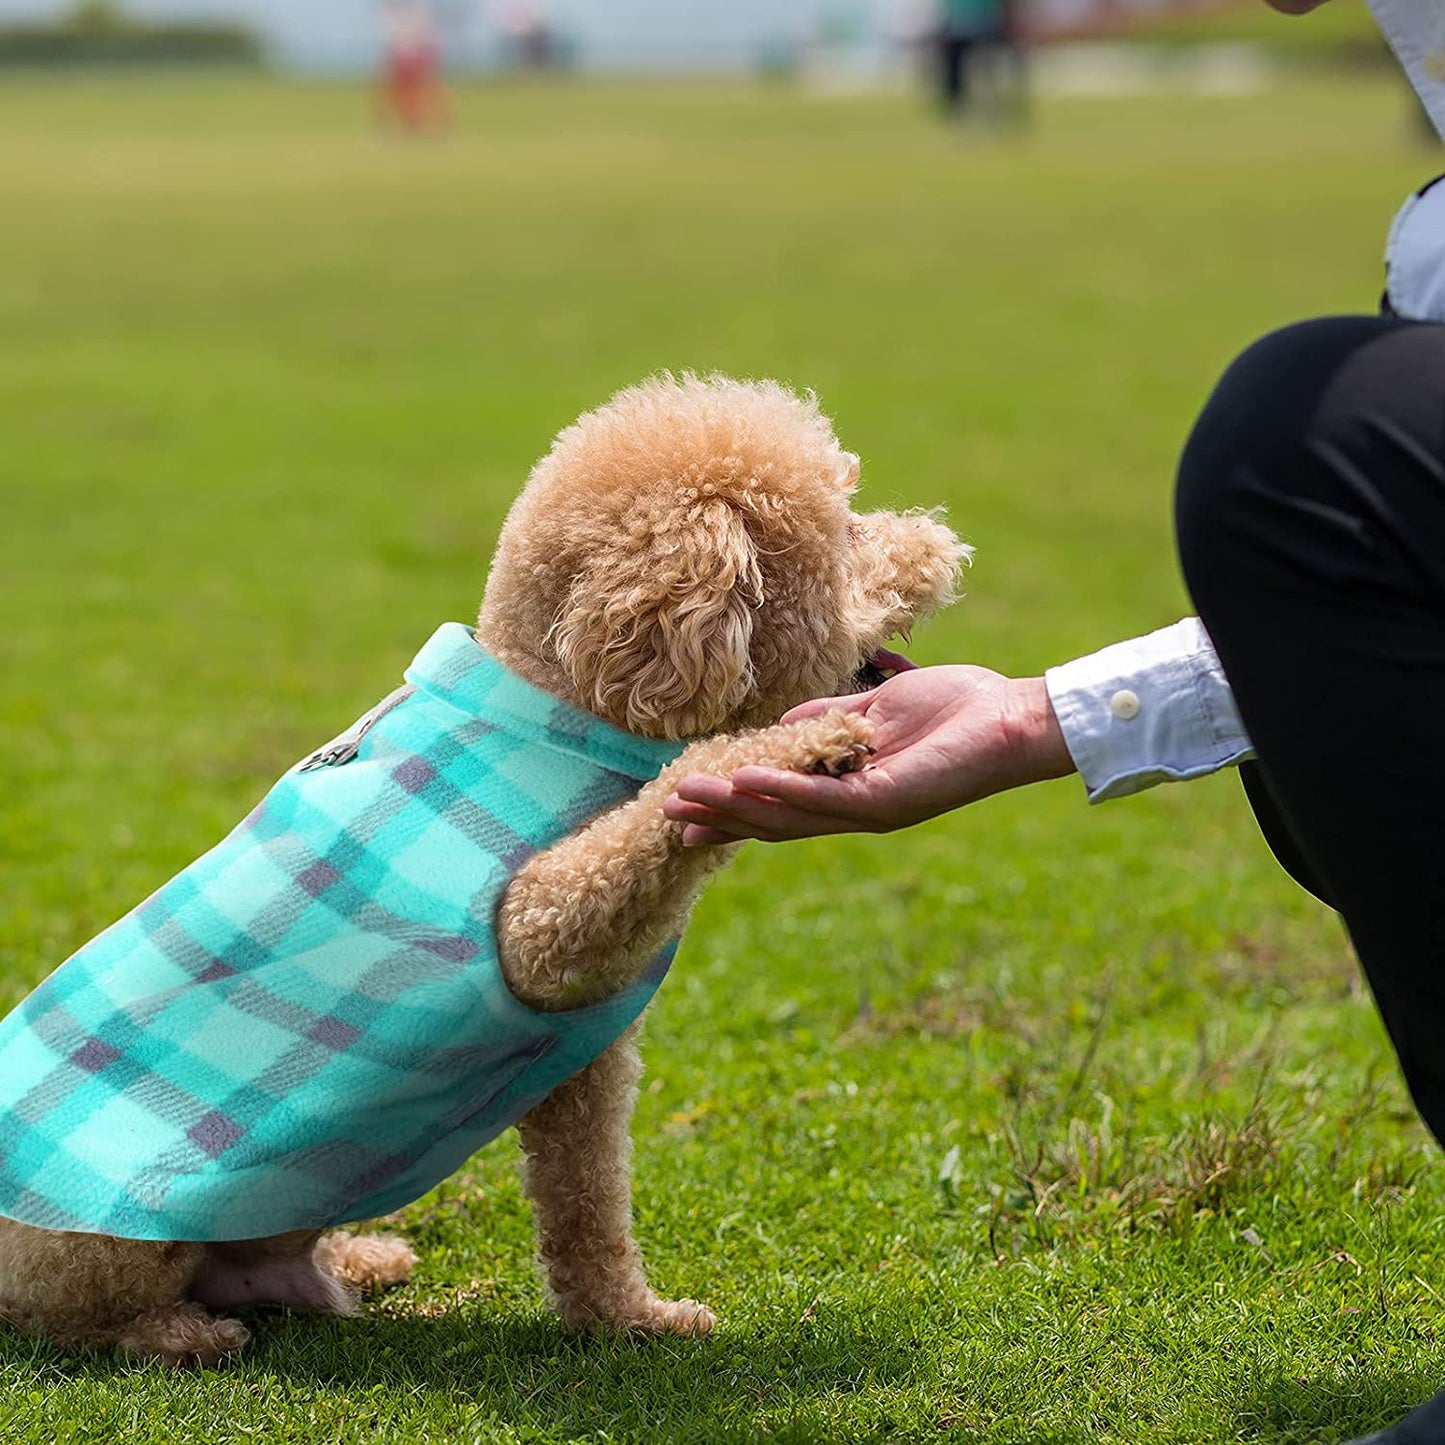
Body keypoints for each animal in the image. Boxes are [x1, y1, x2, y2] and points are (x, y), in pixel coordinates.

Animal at [2, 372, 971, 1364]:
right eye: (844, 533)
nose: (942, 545)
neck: (560, 702)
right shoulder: (540, 933)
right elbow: (638, 829)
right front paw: (794, 745)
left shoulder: (582, 1062)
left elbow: (587, 1206)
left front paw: (630, 1318)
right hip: (95, 1240)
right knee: (65, 1315)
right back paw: (178, 1332)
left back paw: (357, 1258)